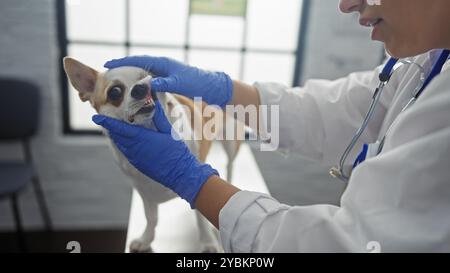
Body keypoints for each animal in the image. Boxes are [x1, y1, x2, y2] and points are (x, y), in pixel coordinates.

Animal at [62, 56, 243, 252]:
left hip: (231, 142)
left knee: (230, 164)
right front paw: (146, 239)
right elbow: (151, 218)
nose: (141, 87)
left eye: (151, 78)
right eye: (115, 92)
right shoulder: (144, 192)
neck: (151, 131)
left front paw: (208, 243)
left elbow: (200, 219)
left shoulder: (199, 184)